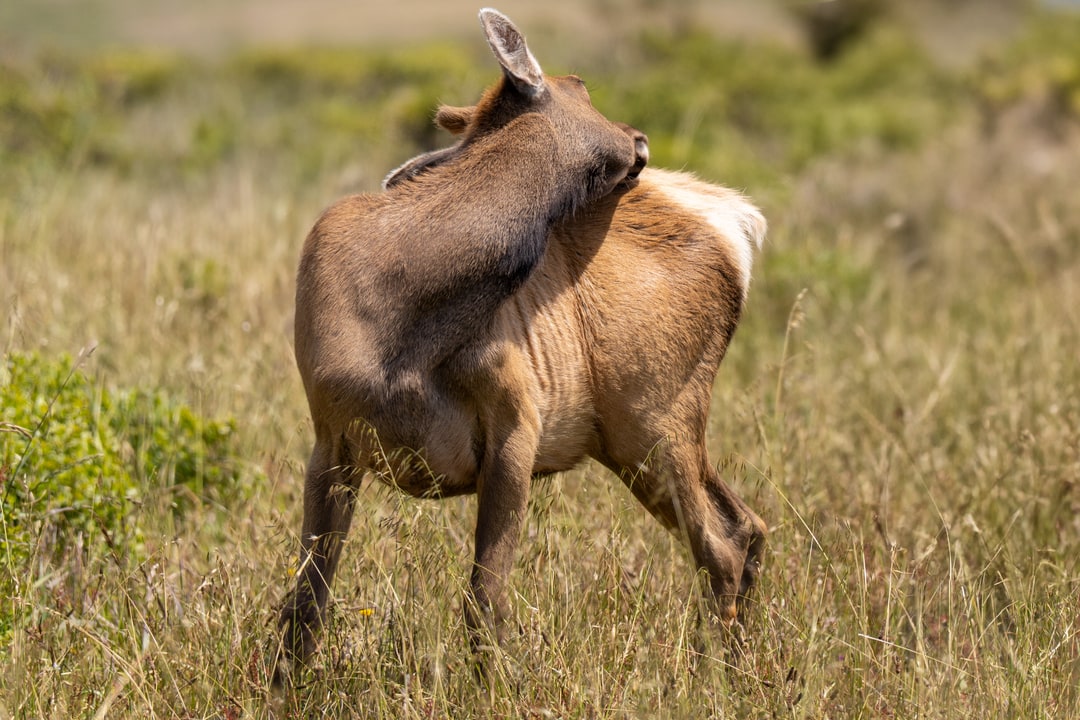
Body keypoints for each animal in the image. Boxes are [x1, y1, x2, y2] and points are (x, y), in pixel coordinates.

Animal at [276, 7, 768, 682]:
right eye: (581, 83)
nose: (638, 137)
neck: (396, 333)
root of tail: (736, 224)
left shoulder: (517, 417)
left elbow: (484, 600)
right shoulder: (331, 438)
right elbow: (306, 603)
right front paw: (285, 691)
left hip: (657, 414)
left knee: (721, 542)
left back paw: (722, 680)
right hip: (635, 434)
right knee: (743, 528)